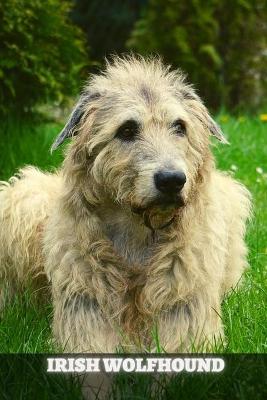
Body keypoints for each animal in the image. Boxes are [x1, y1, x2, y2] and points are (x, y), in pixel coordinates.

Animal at [0, 55, 252, 350]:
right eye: (127, 129)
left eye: (180, 126)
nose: (172, 180)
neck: (139, 233)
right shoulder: (84, 313)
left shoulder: (188, 316)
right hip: (24, 200)